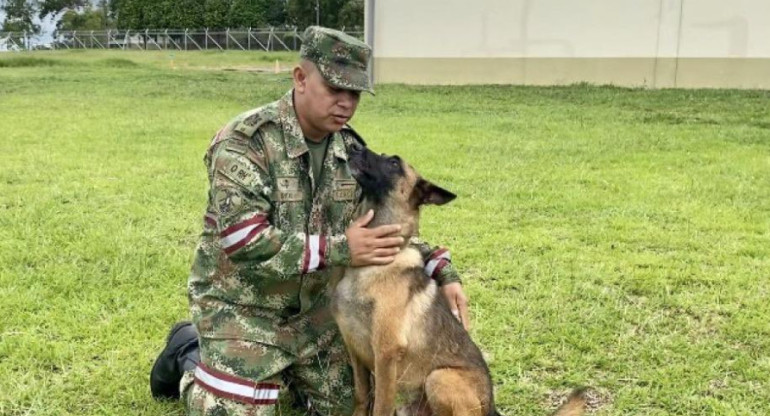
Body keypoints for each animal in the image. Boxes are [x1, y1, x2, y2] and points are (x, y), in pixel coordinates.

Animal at [328, 144, 584, 416]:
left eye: (394, 163)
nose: (353, 146)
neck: (367, 265)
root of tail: (491, 407)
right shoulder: (355, 350)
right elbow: (361, 396)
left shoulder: (386, 354)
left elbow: (380, 407)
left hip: (439, 377)